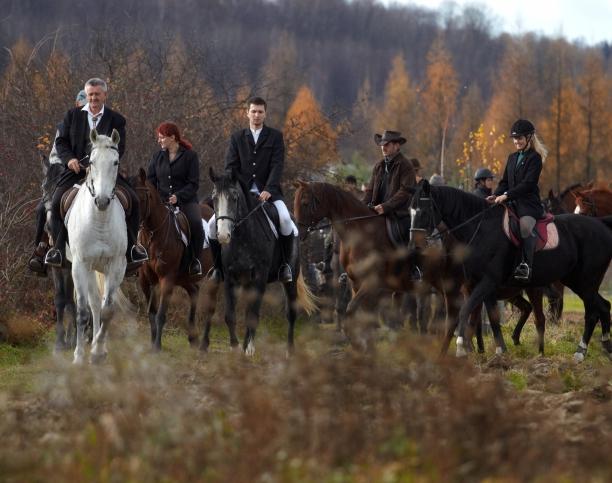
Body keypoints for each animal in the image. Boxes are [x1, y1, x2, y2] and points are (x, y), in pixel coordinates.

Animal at [67, 129, 126, 364]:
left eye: (116, 162)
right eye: (91, 161)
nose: (101, 201)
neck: (100, 220)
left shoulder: (116, 266)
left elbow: (108, 309)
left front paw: (98, 351)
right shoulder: (80, 265)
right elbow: (82, 310)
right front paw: (79, 356)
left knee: (98, 304)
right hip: (88, 268)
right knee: (91, 304)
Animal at [134, 169, 220, 352]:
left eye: (142, 198)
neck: (153, 235)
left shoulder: (167, 279)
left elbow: (160, 314)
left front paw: (157, 346)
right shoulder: (145, 280)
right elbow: (151, 312)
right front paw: (152, 342)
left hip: (213, 276)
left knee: (210, 307)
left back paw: (203, 344)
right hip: (183, 277)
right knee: (194, 291)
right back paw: (193, 338)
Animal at [206, 169, 316, 356]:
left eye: (234, 198)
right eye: (214, 198)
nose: (223, 235)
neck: (242, 237)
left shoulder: (260, 278)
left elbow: (253, 315)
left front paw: (248, 349)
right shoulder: (230, 278)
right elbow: (230, 315)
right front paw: (235, 347)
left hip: (290, 279)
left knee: (291, 314)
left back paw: (289, 351)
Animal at [412, 180, 612, 362]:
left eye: (423, 211)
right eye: (411, 211)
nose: (416, 244)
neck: (482, 229)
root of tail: (601, 224)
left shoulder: (486, 282)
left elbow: (466, 311)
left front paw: (461, 347)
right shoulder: (482, 286)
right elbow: (491, 318)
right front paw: (500, 351)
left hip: (585, 282)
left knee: (593, 311)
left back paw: (580, 352)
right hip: (576, 281)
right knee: (603, 306)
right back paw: (604, 346)